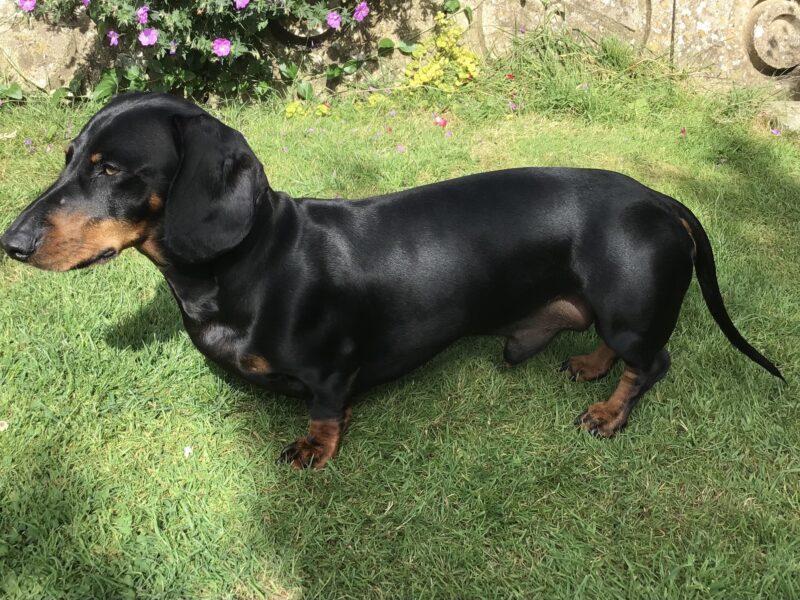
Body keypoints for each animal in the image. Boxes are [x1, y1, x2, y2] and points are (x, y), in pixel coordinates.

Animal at [0, 94, 784, 468]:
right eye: (69, 157)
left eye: (110, 169)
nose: (11, 243)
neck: (254, 260)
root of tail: (659, 198)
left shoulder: (330, 368)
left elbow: (324, 409)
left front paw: (315, 450)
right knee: (615, 347)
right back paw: (590, 365)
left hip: (632, 307)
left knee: (652, 361)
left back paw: (609, 412)